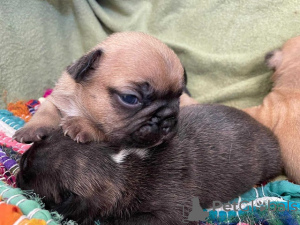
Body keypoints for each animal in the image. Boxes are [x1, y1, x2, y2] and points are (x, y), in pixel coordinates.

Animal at [14, 32, 188, 148]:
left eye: (178, 97)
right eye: (130, 98)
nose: (168, 120)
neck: (81, 105)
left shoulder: (114, 134)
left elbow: (102, 130)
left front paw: (82, 124)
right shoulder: (58, 98)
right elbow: (45, 110)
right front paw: (31, 129)